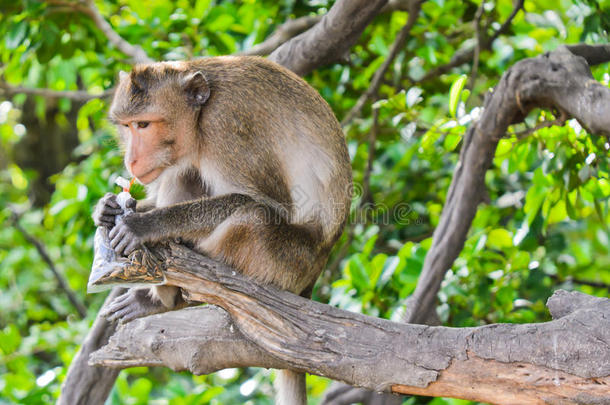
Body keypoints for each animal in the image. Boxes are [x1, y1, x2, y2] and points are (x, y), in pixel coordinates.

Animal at [91, 56, 352, 404]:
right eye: (127, 126)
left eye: (144, 125)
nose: (131, 160)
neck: (200, 116)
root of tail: (311, 279)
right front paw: (107, 208)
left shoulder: (226, 126)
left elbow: (266, 203)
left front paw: (146, 225)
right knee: (184, 173)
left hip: (285, 262)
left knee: (252, 217)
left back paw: (171, 293)